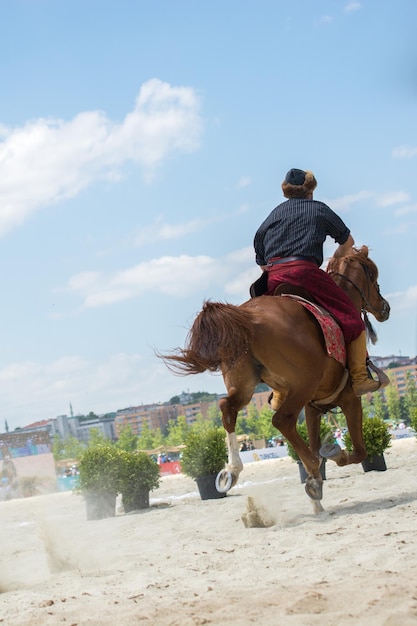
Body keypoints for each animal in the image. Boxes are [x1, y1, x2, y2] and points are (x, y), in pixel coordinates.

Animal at [161, 246, 388, 510]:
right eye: (373, 275)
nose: (384, 308)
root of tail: (248, 317)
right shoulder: (350, 399)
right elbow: (359, 452)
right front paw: (331, 459)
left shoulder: (313, 407)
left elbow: (313, 443)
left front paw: (316, 491)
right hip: (302, 385)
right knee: (283, 420)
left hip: (247, 383)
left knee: (228, 407)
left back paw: (232, 471)